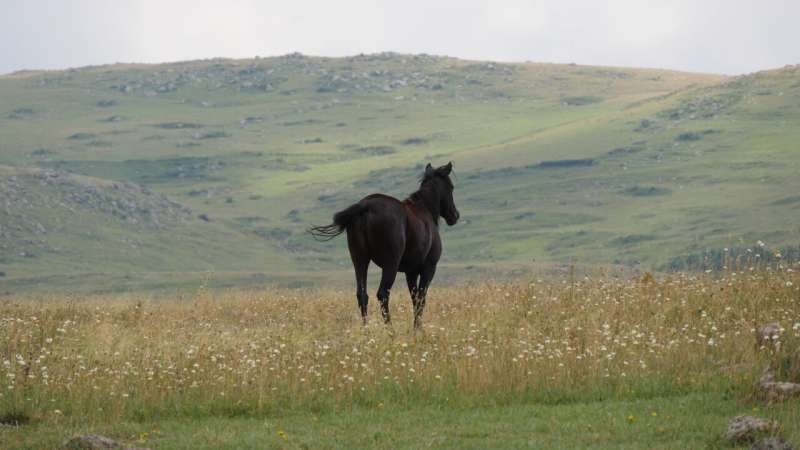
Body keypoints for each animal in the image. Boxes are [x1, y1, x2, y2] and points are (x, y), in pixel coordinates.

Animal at [310, 162, 460, 326]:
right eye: (451, 187)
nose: (455, 215)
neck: (425, 210)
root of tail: (365, 206)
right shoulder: (428, 268)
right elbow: (421, 300)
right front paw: (417, 328)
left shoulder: (411, 272)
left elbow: (414, 299)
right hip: (390, 265)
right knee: (382, 294)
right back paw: (390, 328)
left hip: (360, 260)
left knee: (362, 295)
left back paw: (366, 328)